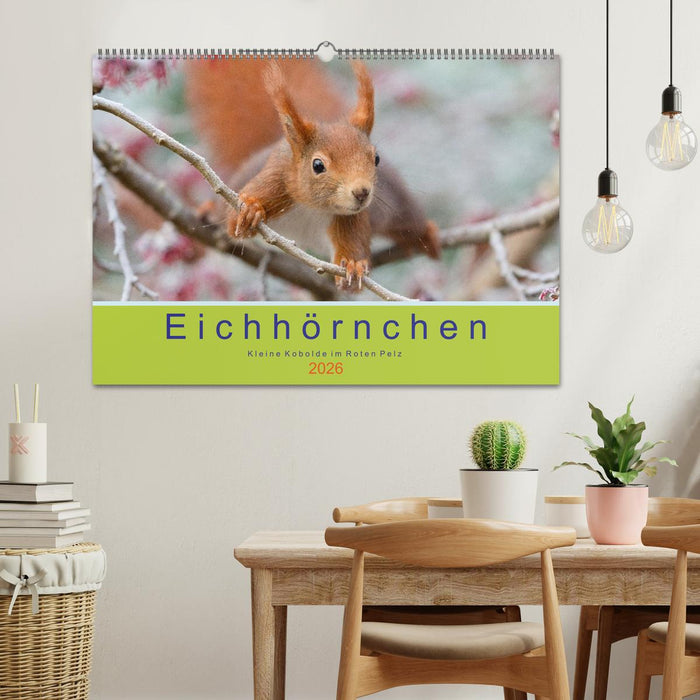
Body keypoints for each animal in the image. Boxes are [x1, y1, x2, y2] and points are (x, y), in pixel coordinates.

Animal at [184, 59, 440, 292]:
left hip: (393, 205)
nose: (362, 192)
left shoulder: (350, 218)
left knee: (408, 219)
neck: (313, 206)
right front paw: (250, 210)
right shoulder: (276, 184)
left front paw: (354, 265)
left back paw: (427, 235)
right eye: (317, 165)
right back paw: (207, 208)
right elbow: (233, 220)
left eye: (376, 158)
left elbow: (354, 252)